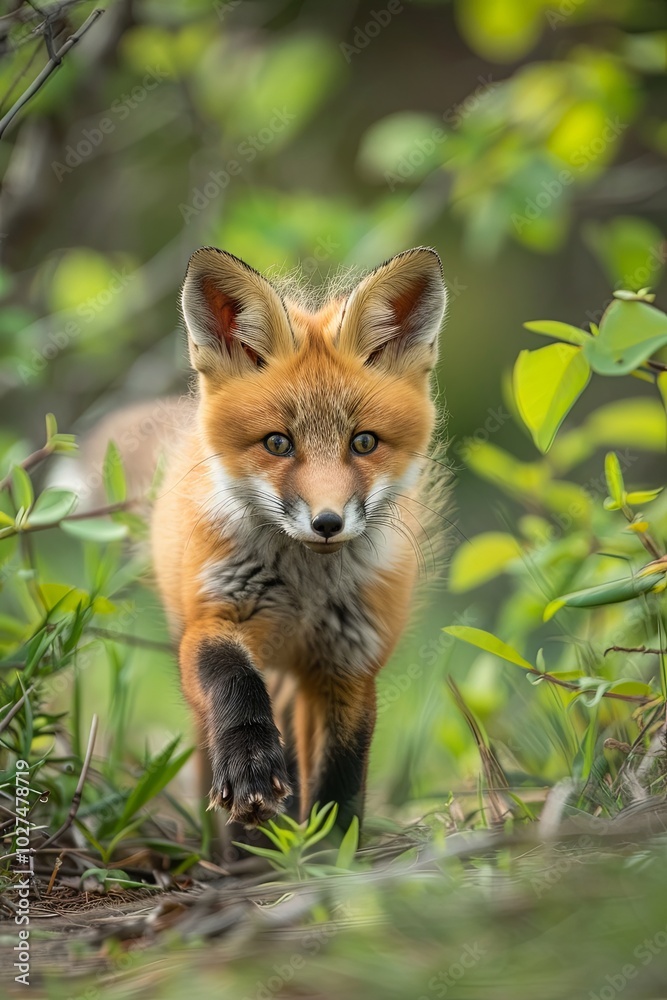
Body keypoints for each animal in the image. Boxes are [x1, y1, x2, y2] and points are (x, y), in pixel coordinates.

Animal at [150, 245, 448, 833]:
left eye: (364, 442)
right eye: (277, 443)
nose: (327, 522)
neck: (307, 592)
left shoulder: (349, 662)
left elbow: (340, 774)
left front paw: (332, 847)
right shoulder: (212, 620)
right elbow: (234, 684)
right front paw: (249, 769)